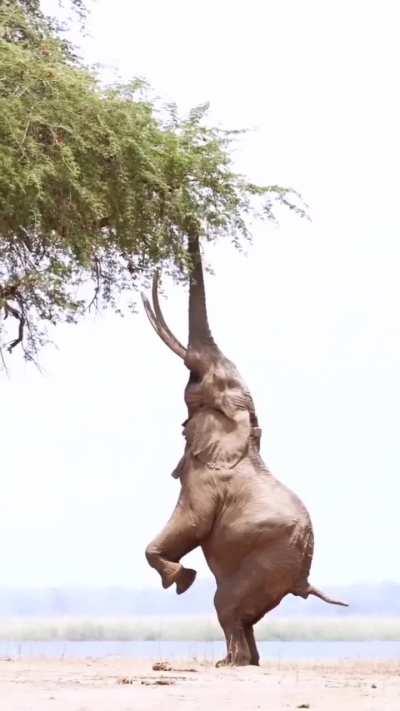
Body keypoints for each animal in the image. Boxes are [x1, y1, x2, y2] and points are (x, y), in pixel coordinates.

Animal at [142, 235, 347, 667]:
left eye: (198, 377)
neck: (245, 426)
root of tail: (304, 579)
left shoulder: (208, 481)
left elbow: (192, 523)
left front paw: (183, 580)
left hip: (268, 561)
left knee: (227, 606)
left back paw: (229, 663)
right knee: (243, 615)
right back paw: (245, 662)